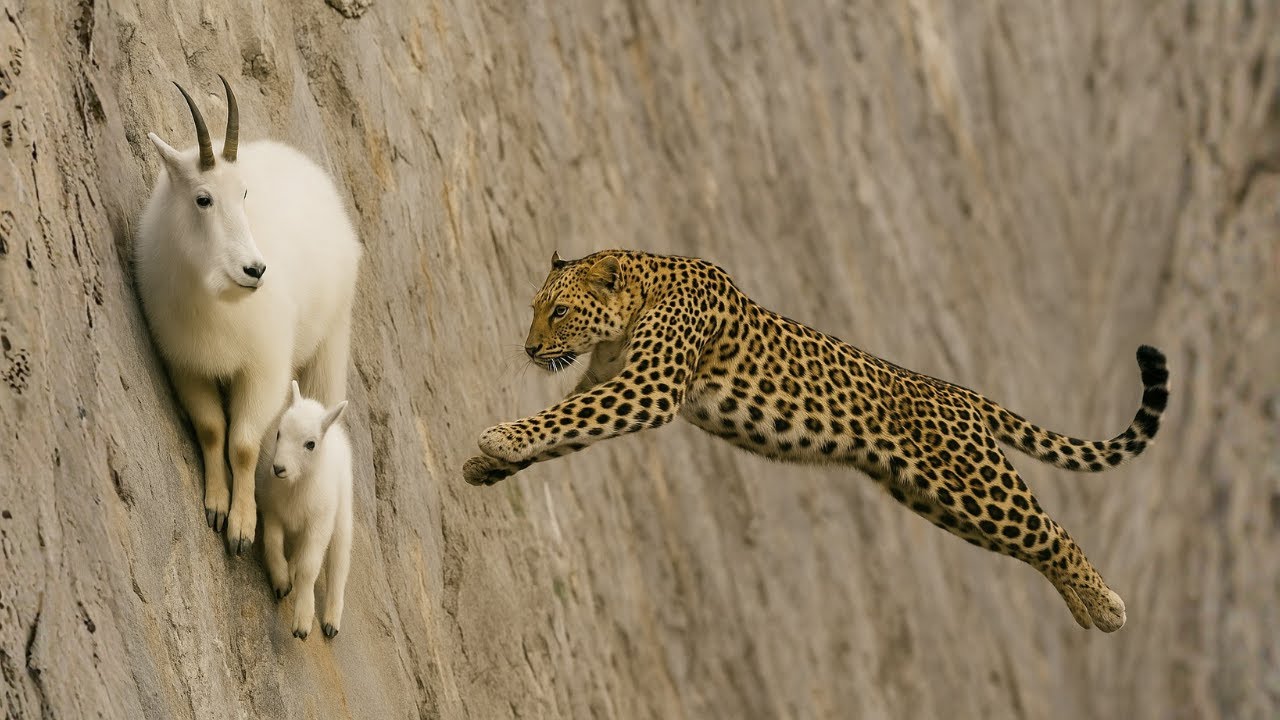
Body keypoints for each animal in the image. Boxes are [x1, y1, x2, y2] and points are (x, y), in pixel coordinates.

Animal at [136, 76, 362, 554]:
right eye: (203, 198)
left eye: (243, 193)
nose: (255, 270)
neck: (216, 303)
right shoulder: (186, 364)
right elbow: (211, 428)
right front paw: (216, 506)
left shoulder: (264, 370)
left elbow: (242, 443)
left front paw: (242, 527)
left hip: (332, 337)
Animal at [258, 381, 353, 639]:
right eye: (279, 433)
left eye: (310, 444)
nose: (278, 468)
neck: (296, 488)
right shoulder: (272, 510)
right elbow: (272, 543)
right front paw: (281, 581)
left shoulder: (319, 525)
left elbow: (309, 568)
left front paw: (302, 620)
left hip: (342, 517)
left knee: (339, 564)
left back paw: (331, 620)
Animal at [465, 250, 1170, 632]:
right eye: (535, 308)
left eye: (558, 311)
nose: (529, 349)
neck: (637, 298)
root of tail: (964, 395)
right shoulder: (614, 382)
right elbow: (568, 424)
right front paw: (485, 465)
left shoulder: (650, 389)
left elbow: (570, 416)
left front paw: (499, 435)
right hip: (934, 499)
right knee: (1032, 544)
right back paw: (1087, 608)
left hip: (974, 485)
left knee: (1053, 533)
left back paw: (1107, 607)